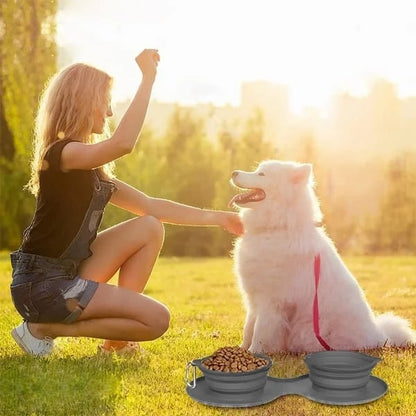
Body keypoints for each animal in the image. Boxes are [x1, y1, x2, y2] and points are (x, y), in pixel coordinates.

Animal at [231, 161, 416, 352]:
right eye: (257, 170)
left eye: (262, 174)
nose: (234, 172)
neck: (278, 227)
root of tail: (381, 338)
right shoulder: (254, 299)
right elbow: (249, 327)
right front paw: (241, 349)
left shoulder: (272, 301)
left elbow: (261, 331)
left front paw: (254, 352)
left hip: (308, 331)